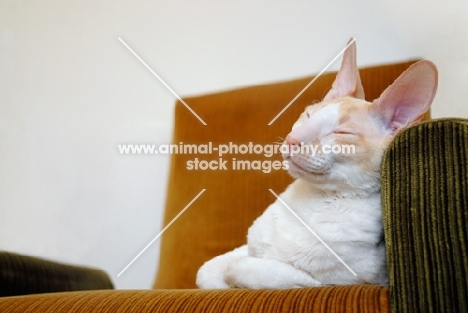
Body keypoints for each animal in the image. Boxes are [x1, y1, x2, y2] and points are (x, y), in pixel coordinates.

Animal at [196, 39, 436, 288]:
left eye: (341, 132)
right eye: (308, 115)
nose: (292, 139)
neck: (313, 199)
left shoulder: (335, 282)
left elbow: (240, 268)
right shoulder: (248, 247)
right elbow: (205, 271)